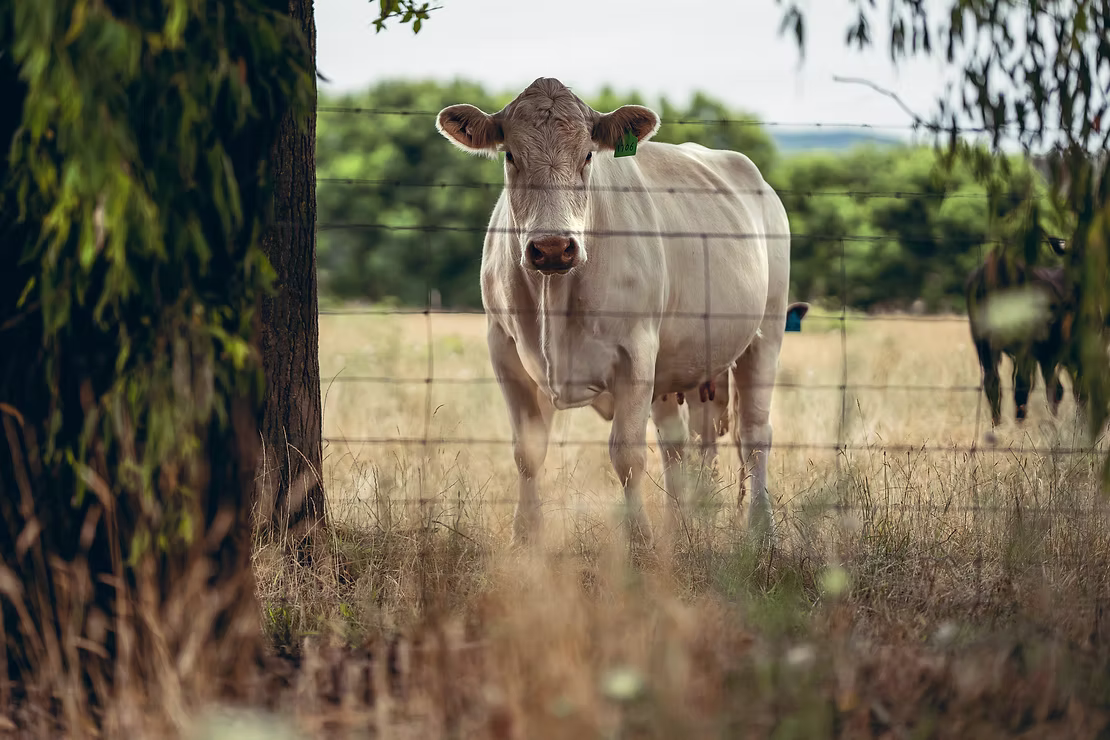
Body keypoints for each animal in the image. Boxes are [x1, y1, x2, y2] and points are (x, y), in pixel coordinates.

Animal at [435, 77, 796, 547]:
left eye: (588, 154)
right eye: (510, 155)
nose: (553, 246)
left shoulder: (636, 353)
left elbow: (627, 454)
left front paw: (639, 542)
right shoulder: (505, 349)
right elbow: (527, 452)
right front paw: (525, 539)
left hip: (765, 335)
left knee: (754, 436)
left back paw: (762, 531)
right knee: (677, 444)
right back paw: (679, 528)